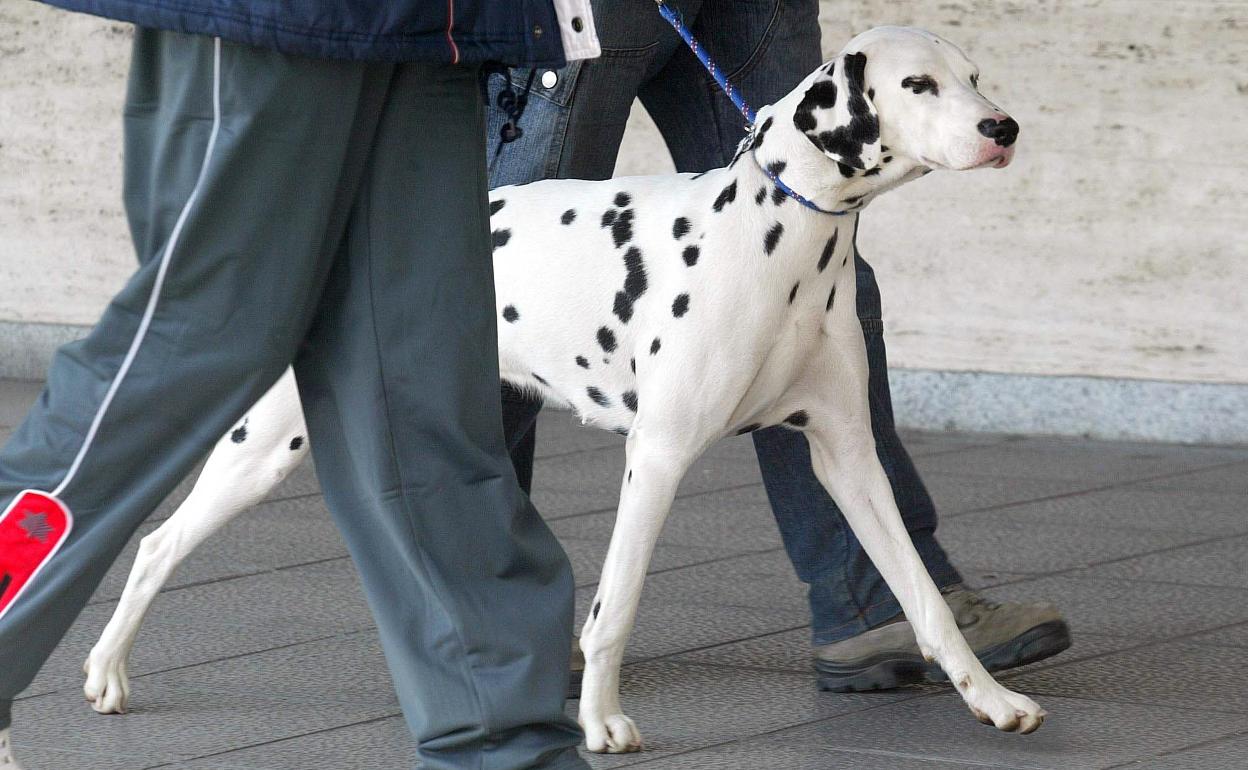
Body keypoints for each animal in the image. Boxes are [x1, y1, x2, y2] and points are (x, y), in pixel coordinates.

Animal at [75, 26, 1033, 753]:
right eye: (918, 84)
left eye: (975, 76)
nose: (1005, 125)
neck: (783, 240)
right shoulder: (658, 458)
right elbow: (616, 606)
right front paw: (602, 723)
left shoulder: (848, 458)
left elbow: (923, 596)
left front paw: (989, 698)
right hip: (266, 446)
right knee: (158, 543)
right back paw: (107, 670)